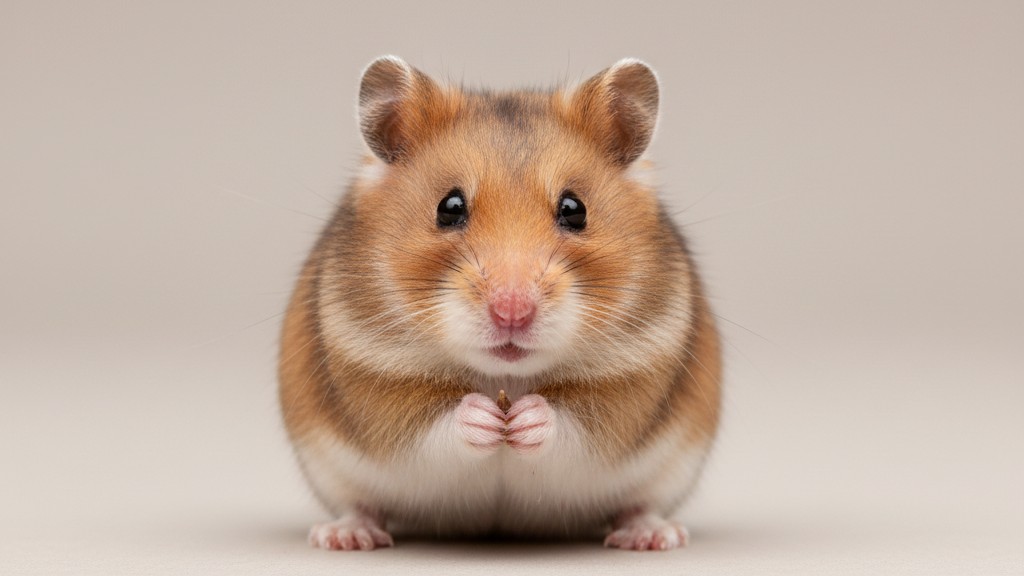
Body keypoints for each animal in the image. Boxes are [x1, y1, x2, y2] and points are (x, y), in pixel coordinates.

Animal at [278, 56, 722, 552]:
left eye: (574, 209)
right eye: (449, 207)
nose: (512, 312)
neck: (504, 377)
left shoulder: (633, 379)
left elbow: (574, 424)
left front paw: (524, 419)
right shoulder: (374, 381)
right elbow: (433, 425)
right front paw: (486, 419)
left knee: (639, 504)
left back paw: (653, 536)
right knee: (360, 504)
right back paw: (344, 536)